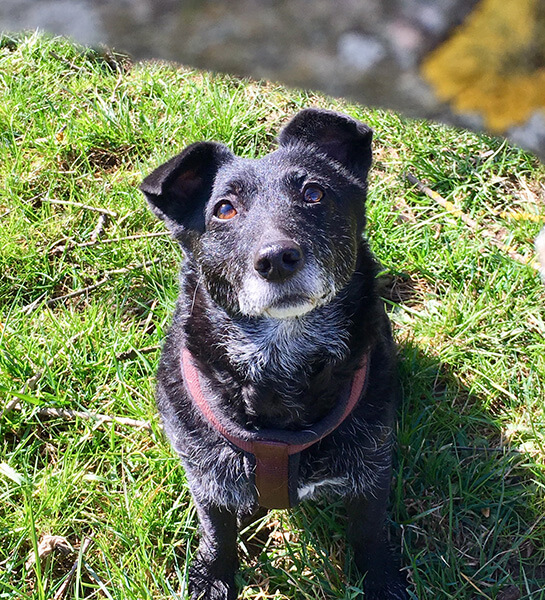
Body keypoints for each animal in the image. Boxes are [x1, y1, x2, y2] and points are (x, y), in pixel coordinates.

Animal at [141, 108, 408, 600]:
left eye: (314, 193)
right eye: (224, 208)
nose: (277, 258)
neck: (282, 361)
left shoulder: (373, 467)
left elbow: (368, 530)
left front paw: (381, 578)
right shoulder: (206, 479)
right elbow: (217, 533)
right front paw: (213, 579)